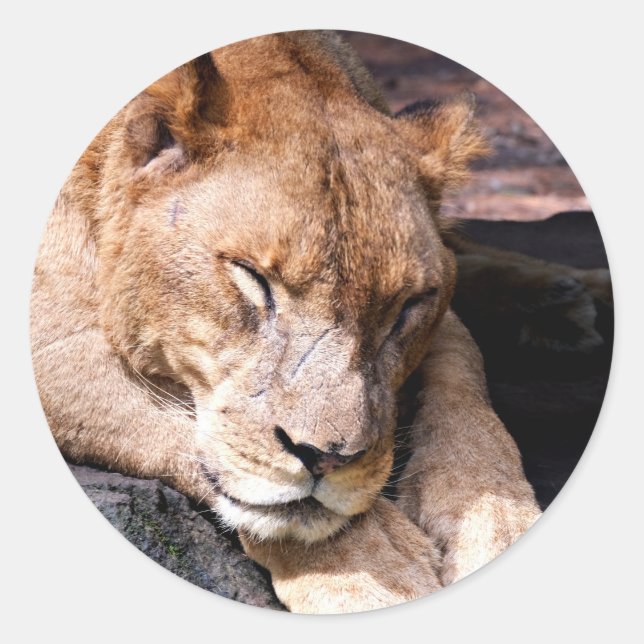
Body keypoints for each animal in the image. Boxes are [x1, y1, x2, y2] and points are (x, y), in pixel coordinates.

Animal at [31, 30, 550, 613]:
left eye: (405, 309)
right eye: (253, 278)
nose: (324, 458)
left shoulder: (445, 323)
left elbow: (466, 383)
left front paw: (497, 523)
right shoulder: (49, 335)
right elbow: (182, 430)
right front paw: (374, 572)